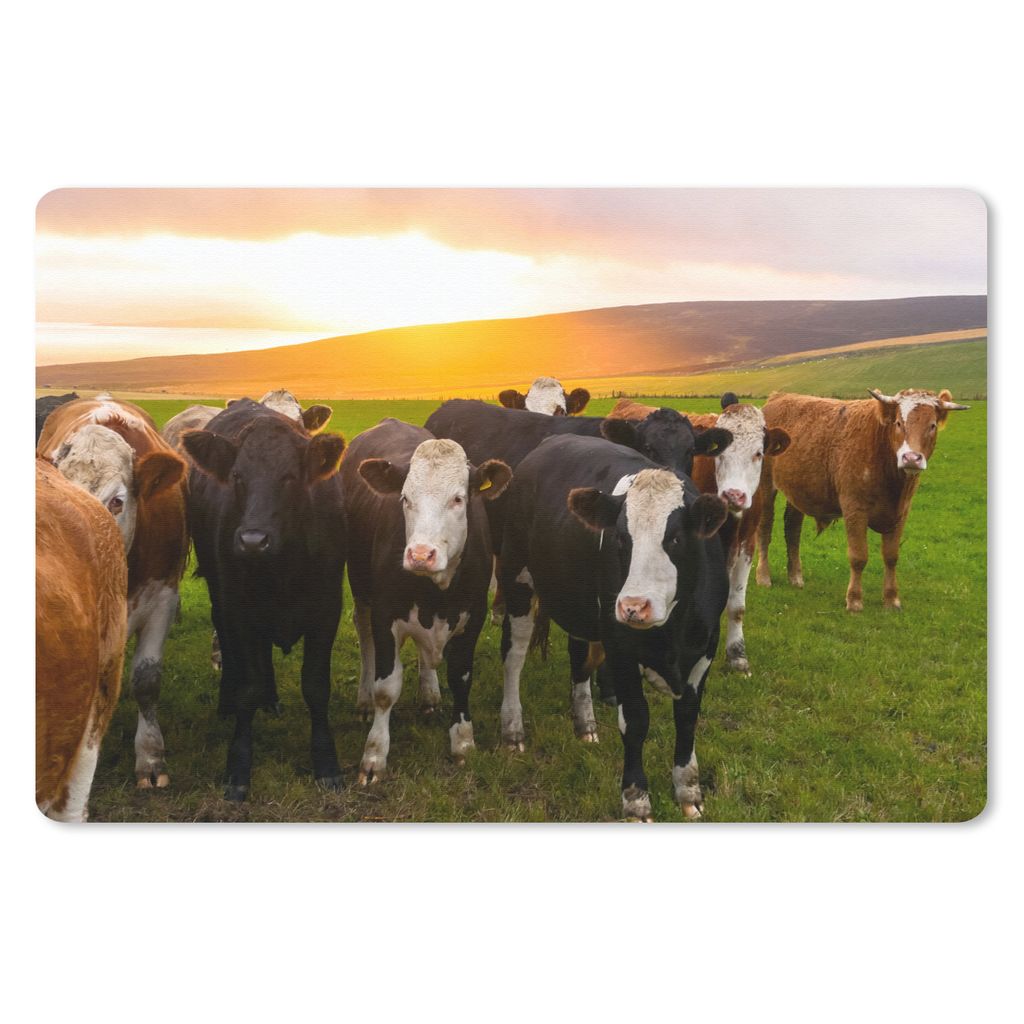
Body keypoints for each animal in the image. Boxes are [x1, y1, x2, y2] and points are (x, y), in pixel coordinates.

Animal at [182, 399, 347, 800]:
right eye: (238, 477)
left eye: (289, 477)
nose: (253, 540)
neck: (283, 567)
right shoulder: (240, 613)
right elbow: (248, 688)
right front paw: (238, 766)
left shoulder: (327, 611)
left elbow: (316, 687)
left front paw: (327, 764)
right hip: (220, 596)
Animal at [342, 419, 512, 782]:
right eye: (405, 498)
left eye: (459, 499)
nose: (421, 554)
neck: (437, 591)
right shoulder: (384, 615)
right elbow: (386, 688)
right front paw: (374, 755)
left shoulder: (473, 616)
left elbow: (461, 678)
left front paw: (463, 742)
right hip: (359, 584)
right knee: (364, 635)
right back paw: (363, 699)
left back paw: (429, 692)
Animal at [498, 435, 729, 820]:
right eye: (621, 538)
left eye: (676, 538)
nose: (634, 606)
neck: (673, 634)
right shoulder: (620, 646)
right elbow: (635, 721)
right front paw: (636, 799)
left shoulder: (706, 648)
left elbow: (687, 718)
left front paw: (688, 791)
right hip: (517, 580)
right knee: (513, 657)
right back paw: (512, 729)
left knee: (578, 660)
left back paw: (585, 724)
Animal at [608, 393, 790, 674]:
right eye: (720, 455)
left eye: (759, 453)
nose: (733, 495)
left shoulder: (747, 542)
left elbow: (737, 606)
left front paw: (737, 655)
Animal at [756, 388, 968, 612]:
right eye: (898, 423)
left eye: (932, 425)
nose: (911, 458)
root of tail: (778, 397)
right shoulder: (854, 508)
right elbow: (858, 556)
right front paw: (854, 600)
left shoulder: (901, 512)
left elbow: (891, 556)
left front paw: (892, 598)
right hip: (765, 486)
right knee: (765, 528)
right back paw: (763, 576)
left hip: (798, 491)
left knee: (792, 529)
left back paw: (795, 577)